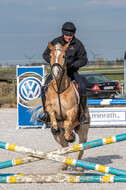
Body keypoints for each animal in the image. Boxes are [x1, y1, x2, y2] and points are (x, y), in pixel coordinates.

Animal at [45, 42, 89, 170]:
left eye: (64, 56)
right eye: (50, 56)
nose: (55, 73)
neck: (60, 89)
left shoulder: (72, 109)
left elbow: (67, 122)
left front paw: (69, 135)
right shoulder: (49, 106)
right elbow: (53, 116)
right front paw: (56, 126)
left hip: (83, 130)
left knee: (80, 146)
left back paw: (79, 166)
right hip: (57, 137)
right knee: (64, 147)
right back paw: (64, 165)